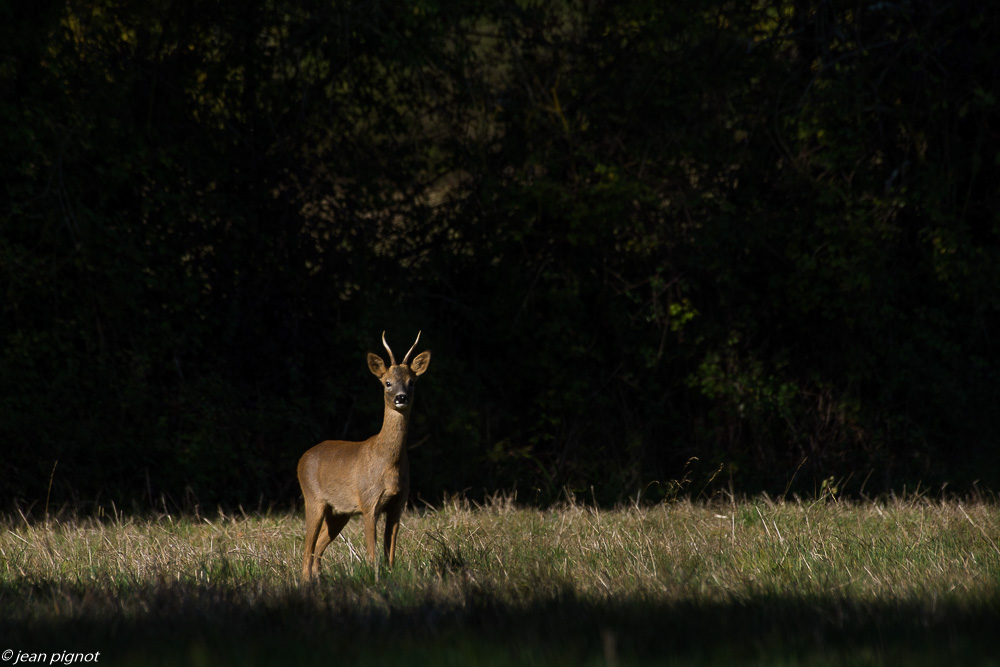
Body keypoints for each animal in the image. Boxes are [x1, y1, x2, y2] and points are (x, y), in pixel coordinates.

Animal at [296, 332, 430, 580]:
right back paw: (305, 580)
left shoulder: (398, 504)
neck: (388, 461)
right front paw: (373, 576)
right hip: (313, 499)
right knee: (307, 546)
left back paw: (318, 579)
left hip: (339, 512)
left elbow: (390, 551)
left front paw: (390, 576)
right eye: (387, 382)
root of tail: (302, 458)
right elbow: (372, 552)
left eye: (412, 381)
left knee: (317, 546)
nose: (401, 397)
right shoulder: (369, 502)